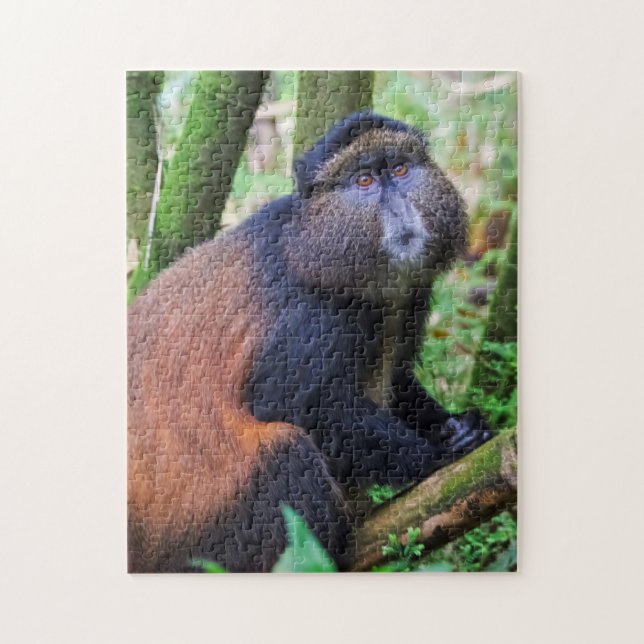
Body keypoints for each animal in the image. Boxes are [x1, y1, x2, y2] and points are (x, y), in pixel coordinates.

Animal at [128, 110, 492, 573]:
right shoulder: (311, 317)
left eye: (400, 170)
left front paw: (460, 428)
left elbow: (397, 380)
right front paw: (438, 456)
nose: (399, 210)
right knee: (286, 451)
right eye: (363, 181)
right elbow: (286, 404)